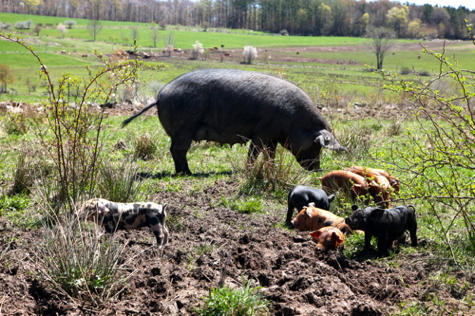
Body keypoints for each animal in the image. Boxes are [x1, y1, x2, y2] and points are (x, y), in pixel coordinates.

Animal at [122, 68, 346, 175]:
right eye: (316, 146)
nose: (318, 170)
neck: (296, 121)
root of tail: (160, 96)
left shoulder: (272, 137)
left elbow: (270, 155)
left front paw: (271, 171)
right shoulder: (261, 132)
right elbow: (254, 153)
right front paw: (249, 170)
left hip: (180, 129)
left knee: (173, 149)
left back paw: (181, 171)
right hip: (185, 125)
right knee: (179, 150)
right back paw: (187, 172)